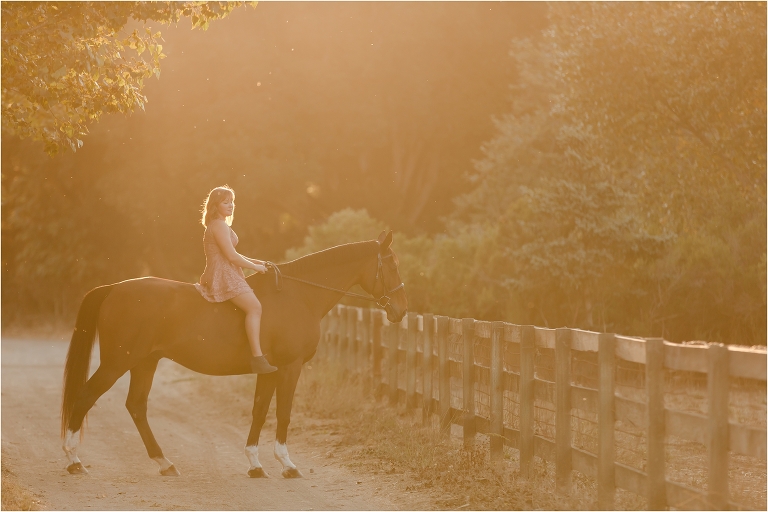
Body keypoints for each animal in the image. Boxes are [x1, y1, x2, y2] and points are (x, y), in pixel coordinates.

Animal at [60, 230, 407, 477]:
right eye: (392, 263)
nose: (401, 310)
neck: (298, 295)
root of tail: (114, 288)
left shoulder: (270, 371)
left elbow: (259, 411)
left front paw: (255, 464)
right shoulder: (290, 368)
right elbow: (283, 413)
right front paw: (287, 465)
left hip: (145, 363)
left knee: (136, 407)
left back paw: (165, 463)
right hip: (118, 362)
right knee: (85, 396)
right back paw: (74, 460)